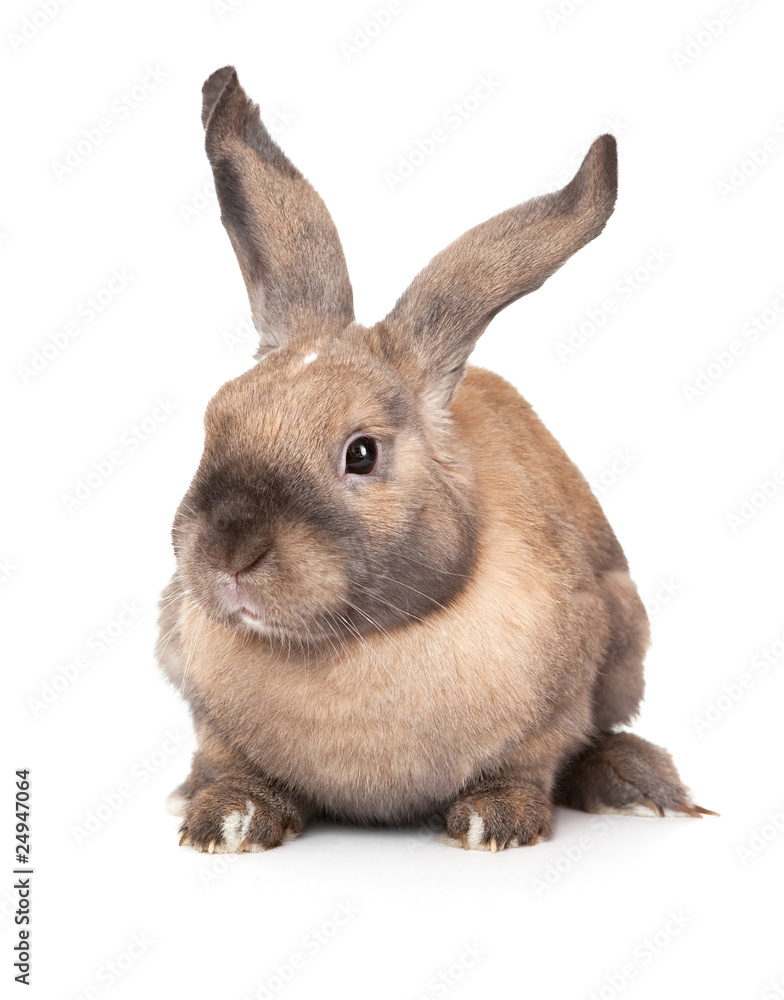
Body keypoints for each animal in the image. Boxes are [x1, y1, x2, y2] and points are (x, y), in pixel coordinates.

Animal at [156, 65, 713, 854]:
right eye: (215, 420)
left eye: (361, 453)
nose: (230, 555)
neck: (354, 645)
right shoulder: (206, 710)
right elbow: (231, 761)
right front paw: (227, 818)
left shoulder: (559, 699)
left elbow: (532, 758)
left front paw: (495, 821)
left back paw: (635, 785)